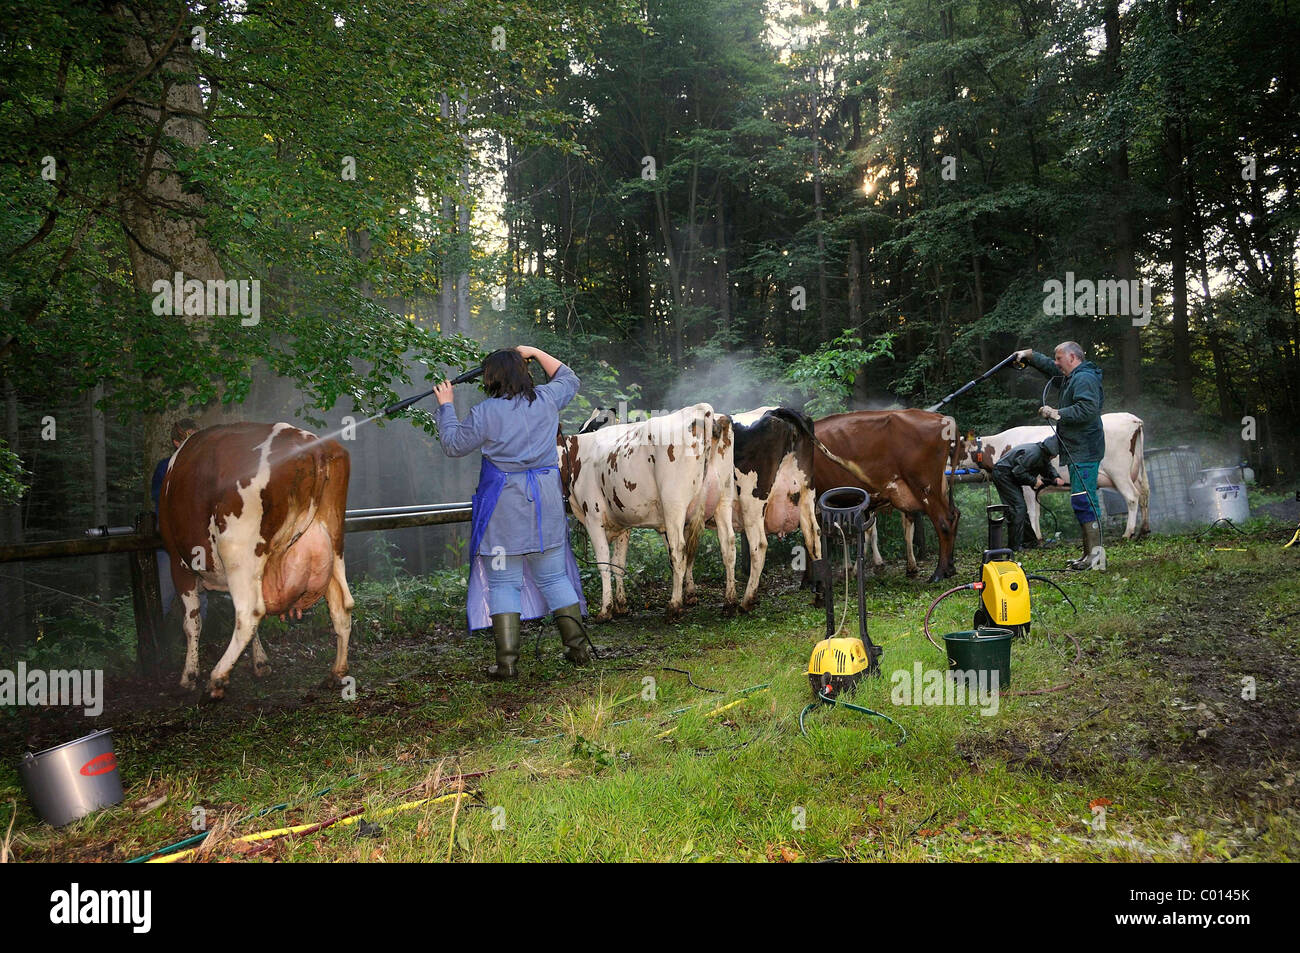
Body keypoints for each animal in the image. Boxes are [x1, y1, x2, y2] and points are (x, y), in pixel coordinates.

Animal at [158, 423, 356, 696]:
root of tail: (310, 443)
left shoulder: (179, 563)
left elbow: (192, 622)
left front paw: (188, 676)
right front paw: (261, 663)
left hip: (236, 550)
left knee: (250, 612)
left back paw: (217, 679)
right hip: (334, 544)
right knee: (342, 605)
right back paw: (336, 672)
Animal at [559, 403, 738, 621]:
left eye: (594, 425)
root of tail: (700, 410)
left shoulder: (593, 518)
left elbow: (604, 563)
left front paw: (605, 610)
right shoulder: (623, 524)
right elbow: (619, 563)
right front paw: (621, 605)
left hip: (674, 505)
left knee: (679, 550)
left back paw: (674, 605)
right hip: (724, 500)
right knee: (728, 545)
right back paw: (730, 602)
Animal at [811, 408, 967, 579]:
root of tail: (943, 418)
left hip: (925, 487)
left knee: (942, 521)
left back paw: (939, 572)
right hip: (935, 489)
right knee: (949, 516)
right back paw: (939, 568)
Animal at [956, 413, 1149, 538]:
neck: (999, 446)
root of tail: (1132, 418)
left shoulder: (1027, 486)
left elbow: (1032, 512)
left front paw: (1037, 538)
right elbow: (1034, 512)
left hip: (1119, 472)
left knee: (1132, 497)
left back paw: (1128, 533)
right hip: (1136, 472)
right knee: (1144, 495)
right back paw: (1144, 530)